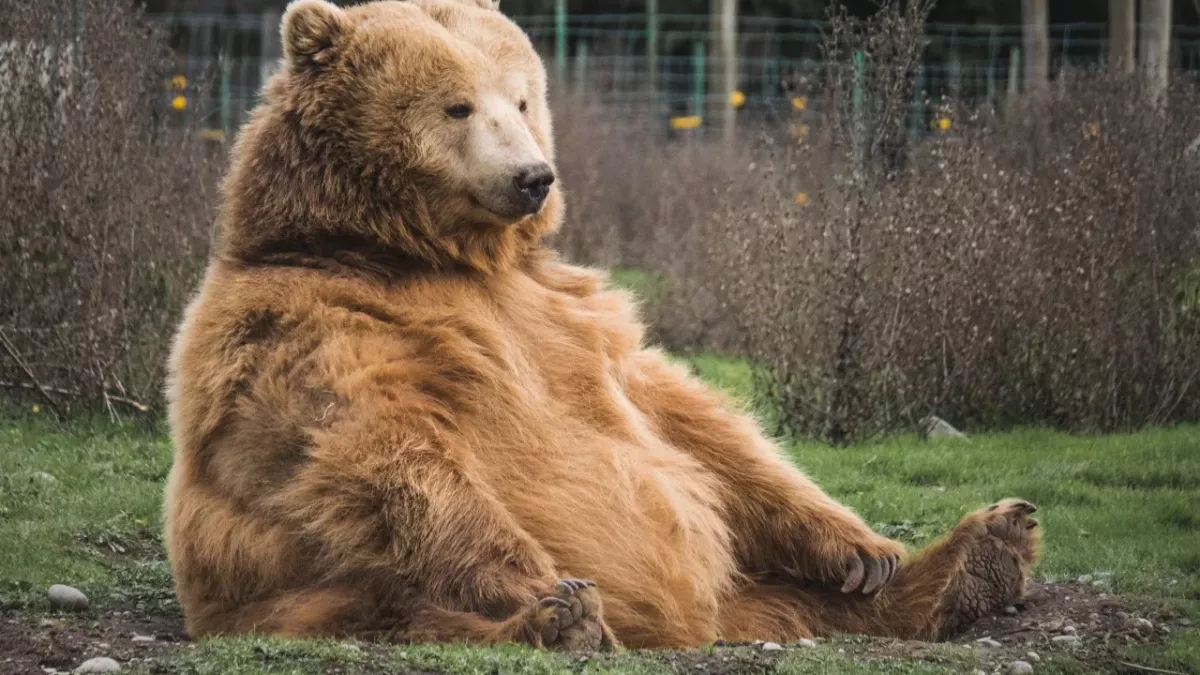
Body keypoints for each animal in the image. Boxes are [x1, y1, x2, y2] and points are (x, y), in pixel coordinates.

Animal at [163, 0, 1041, 650]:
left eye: (521, 97)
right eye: (457, 105)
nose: (533, 176)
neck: (412, 251)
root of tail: (697, 623)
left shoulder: (569, 312)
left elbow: (691, 417)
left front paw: (863, 549)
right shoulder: (309, 325)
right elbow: (381, 450)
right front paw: (542, 583)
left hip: (747, 587)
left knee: (799, 598)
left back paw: (981, 553)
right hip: (304, 589)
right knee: (403, 608)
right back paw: (561, 621)